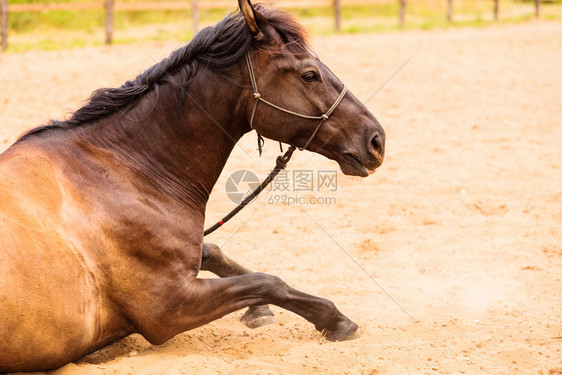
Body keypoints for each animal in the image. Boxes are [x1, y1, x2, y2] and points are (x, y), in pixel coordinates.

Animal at [0, 0, 380, 374]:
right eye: (309, 74)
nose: (377, 139)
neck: (124, 169)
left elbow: (215, 252)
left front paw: (260, 312)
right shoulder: (169, 310)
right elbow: (266, 281)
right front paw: (335, 320)